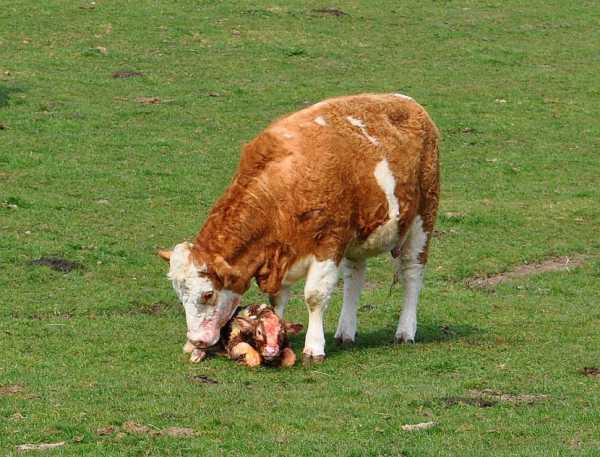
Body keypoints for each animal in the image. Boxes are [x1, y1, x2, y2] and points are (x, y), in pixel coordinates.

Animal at [159, 92, 440, 364]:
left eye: (208, 294)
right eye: (179, 295)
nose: (196, 340)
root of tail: (407, 102)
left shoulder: (329, 242)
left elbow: (315, 296)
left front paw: (313, 348)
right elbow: (276, 301)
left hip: (423, 218)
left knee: (412, 273)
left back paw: (405, 331)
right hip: (358, 237)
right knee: (354, 278)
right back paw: (346, 332)